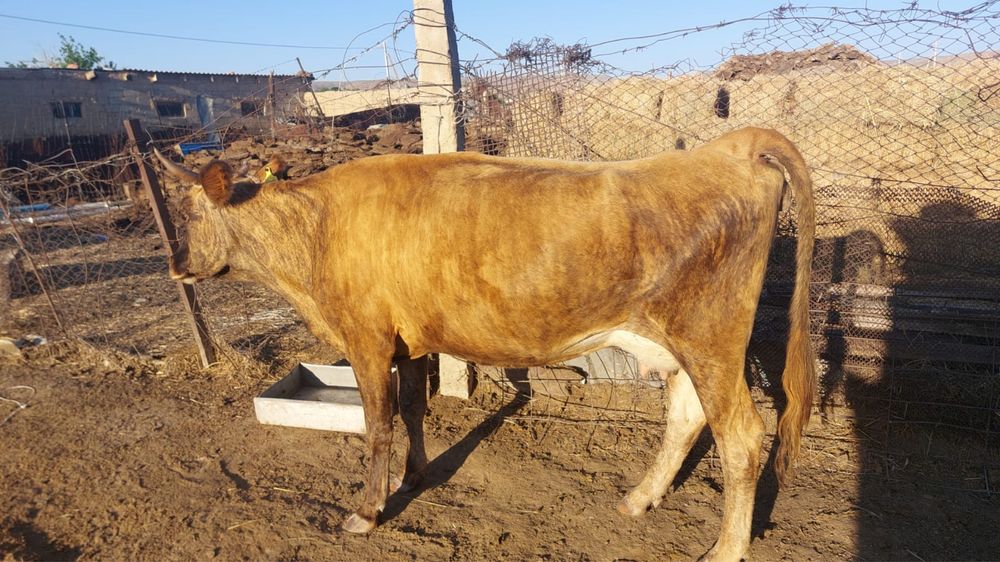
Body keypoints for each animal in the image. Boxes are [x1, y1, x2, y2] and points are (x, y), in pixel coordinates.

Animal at [155, 127, 816, 561]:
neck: (314, 233)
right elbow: (414, 409)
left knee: (740, 435)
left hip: (711, 339)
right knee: (686, 416)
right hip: (680, 346)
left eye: (192, 212)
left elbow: (378, 425)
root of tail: (733, 145)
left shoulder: (366, 337)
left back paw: (725, 549)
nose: (174, 264)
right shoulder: (411, 340)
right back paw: (639, 499)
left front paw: (367, 513)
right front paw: (415, 478)